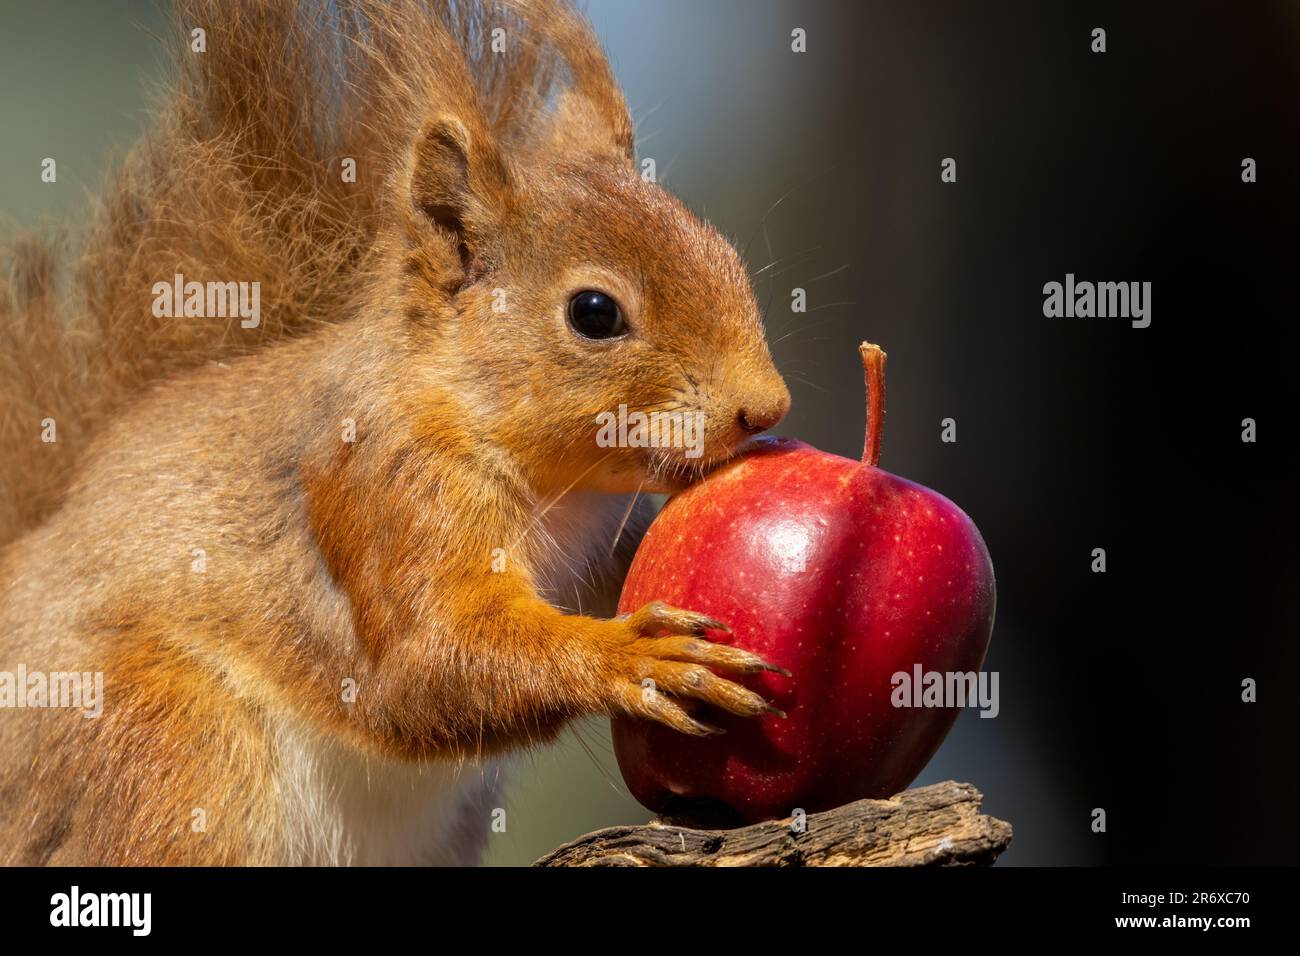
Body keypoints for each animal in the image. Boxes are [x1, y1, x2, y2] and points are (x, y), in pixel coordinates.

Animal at [0, 0, 790, 865]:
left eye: (727, 255)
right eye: (594, 313)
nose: (766, 409)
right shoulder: (388, 485)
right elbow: (427, 666)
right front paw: (638, 657)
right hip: (165, 747)